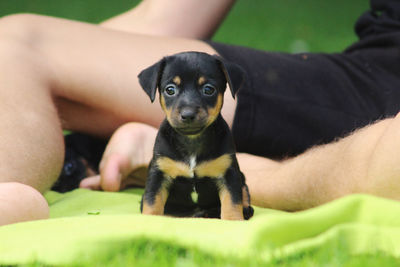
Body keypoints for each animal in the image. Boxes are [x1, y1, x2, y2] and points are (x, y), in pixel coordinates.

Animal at [139, 51, 255, 221]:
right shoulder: (159, 174)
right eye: (170, 90)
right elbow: (152, 200)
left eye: (208, 89)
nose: (188, 114)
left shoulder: (229, 173)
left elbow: (232, 201)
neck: (192, 140)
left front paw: (233, 220)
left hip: (242, 177)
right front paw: (149, 219)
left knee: (244, 191)